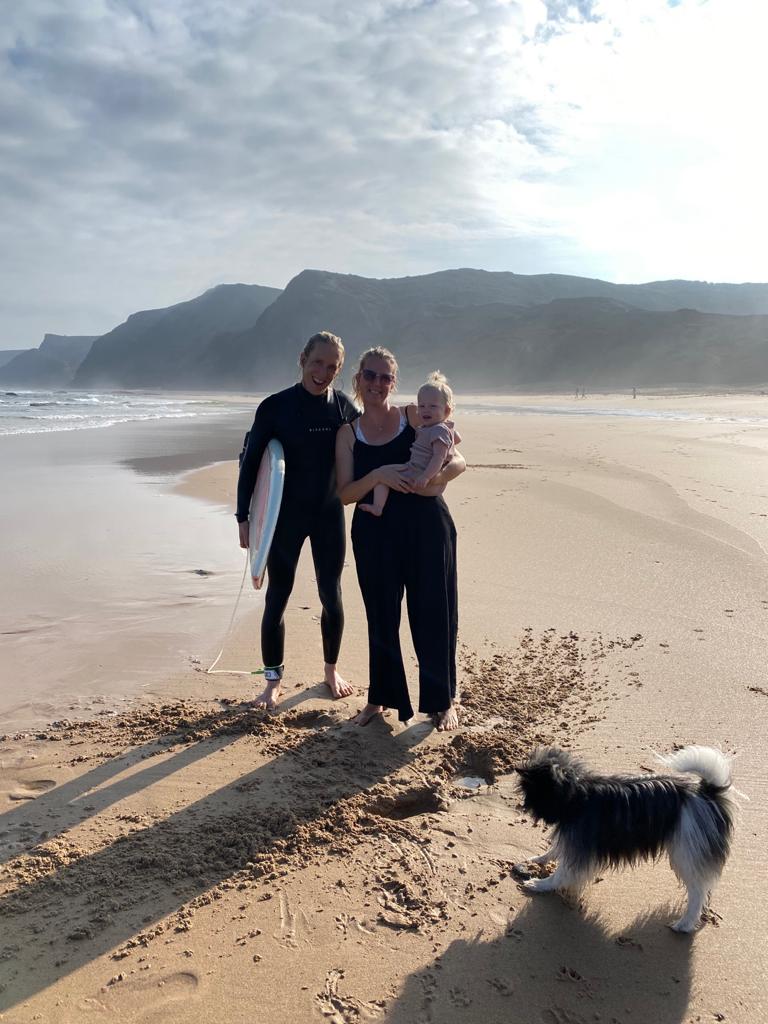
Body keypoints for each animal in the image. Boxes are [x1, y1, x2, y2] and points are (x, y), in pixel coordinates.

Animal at [514, 745, 737, 937]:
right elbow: (554, 851)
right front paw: (537, 860)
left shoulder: (578, 845)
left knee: (697, 893)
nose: (524, 806)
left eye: (530, 792)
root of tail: (707, 793)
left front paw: (539, 884)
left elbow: (561, 873)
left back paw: (685, 923)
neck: (577, 794)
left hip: (686, 853)